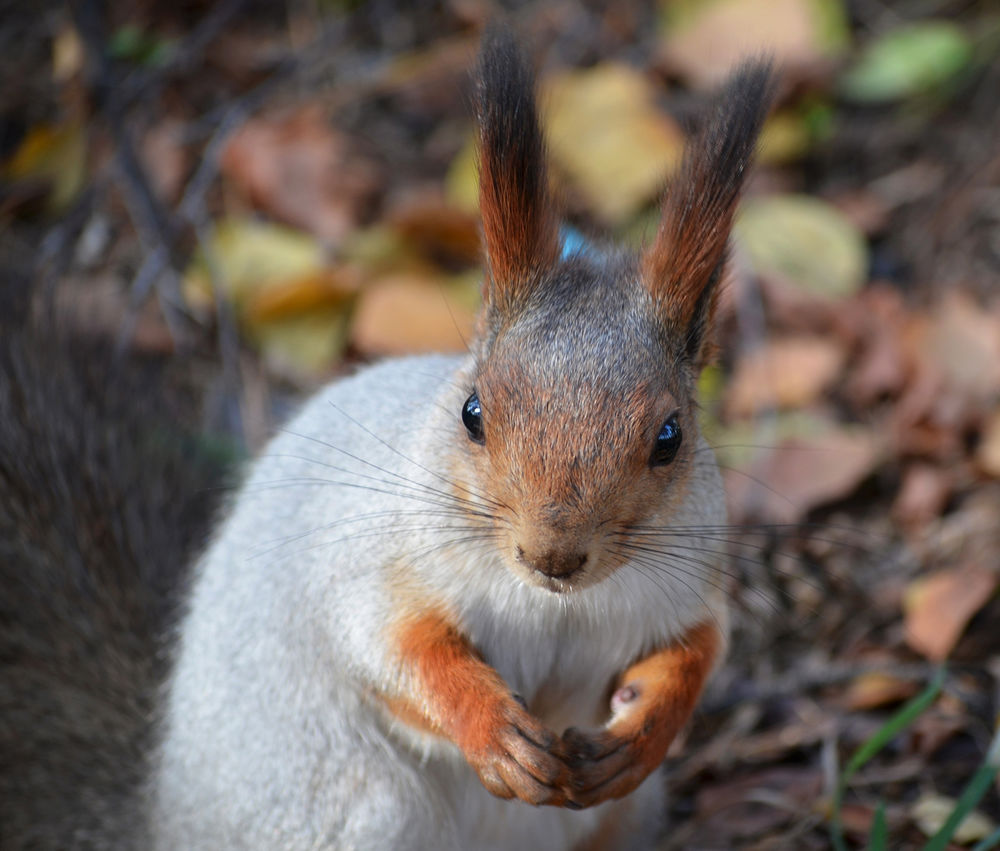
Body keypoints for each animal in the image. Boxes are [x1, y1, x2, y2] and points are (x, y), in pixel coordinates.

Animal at [0, 23, 772, 848]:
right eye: (473, 413)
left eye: (670, 436)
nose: (553, 554)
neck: (550, 603)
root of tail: (164, 821)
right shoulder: (376, 557)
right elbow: (393, 647)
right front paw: (493, 728)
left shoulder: (689, 579)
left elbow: (700, 650)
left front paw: (645, 729)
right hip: (356, 812)